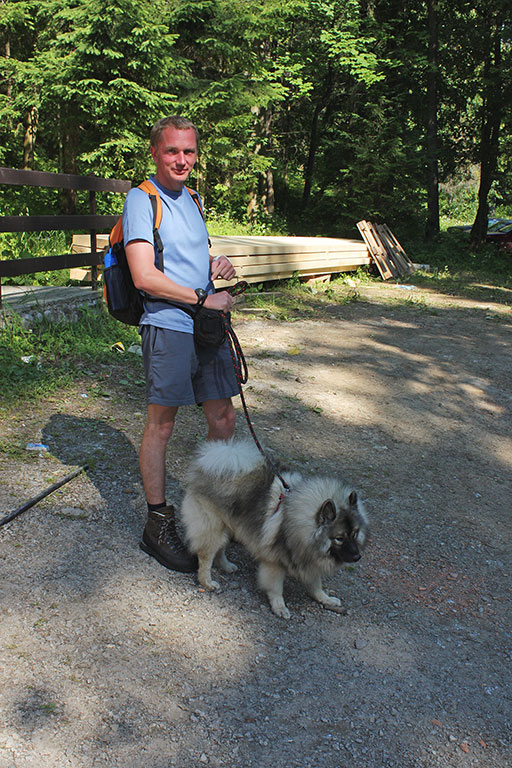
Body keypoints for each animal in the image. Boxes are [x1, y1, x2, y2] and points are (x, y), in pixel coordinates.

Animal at [180, 438, 368, 616]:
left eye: (354, 533)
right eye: (339, 538)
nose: (357, 556)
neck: (299, 521)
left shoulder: (308, 559)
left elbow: (316, 584)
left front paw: (325, 599)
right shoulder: (274, 562)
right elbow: (276, 588)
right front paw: (279, 607)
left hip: (228, 525)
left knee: (220, 548)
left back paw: (226, 566)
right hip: (213, 528)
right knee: (206, 556)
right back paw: (207, 582)